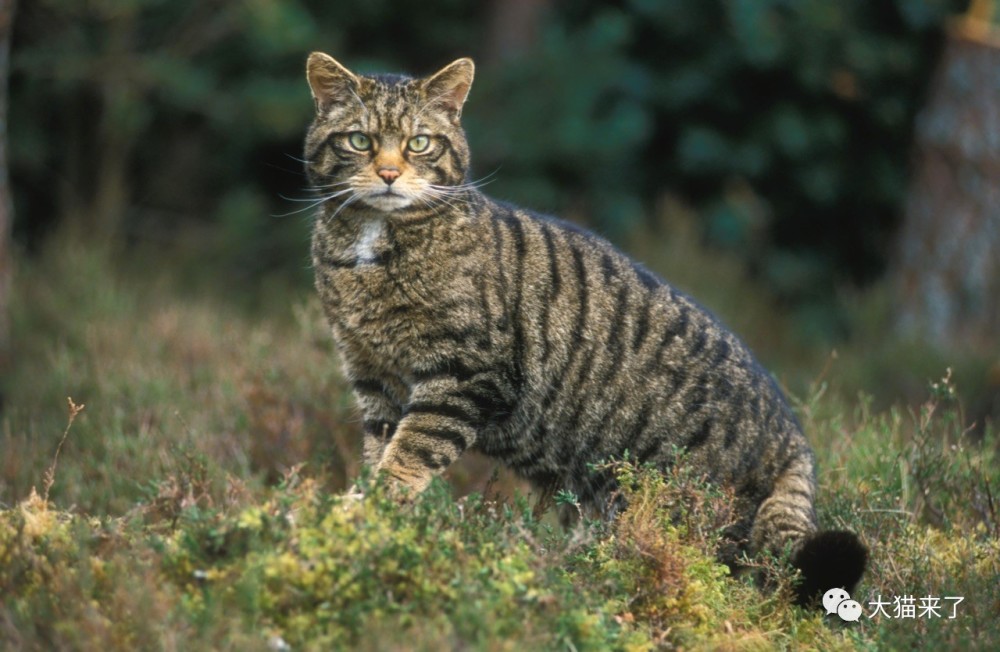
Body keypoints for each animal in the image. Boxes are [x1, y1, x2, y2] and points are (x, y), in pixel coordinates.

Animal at [300, 53, 864, 604]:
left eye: (419, 142)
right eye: (360, 140)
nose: (389, 173)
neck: (372, 250)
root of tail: (794, 439)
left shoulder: (464, 376)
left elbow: (409, 454)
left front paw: (370, 511)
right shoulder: (374, 379)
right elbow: (381, 450)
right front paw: (366, 510)